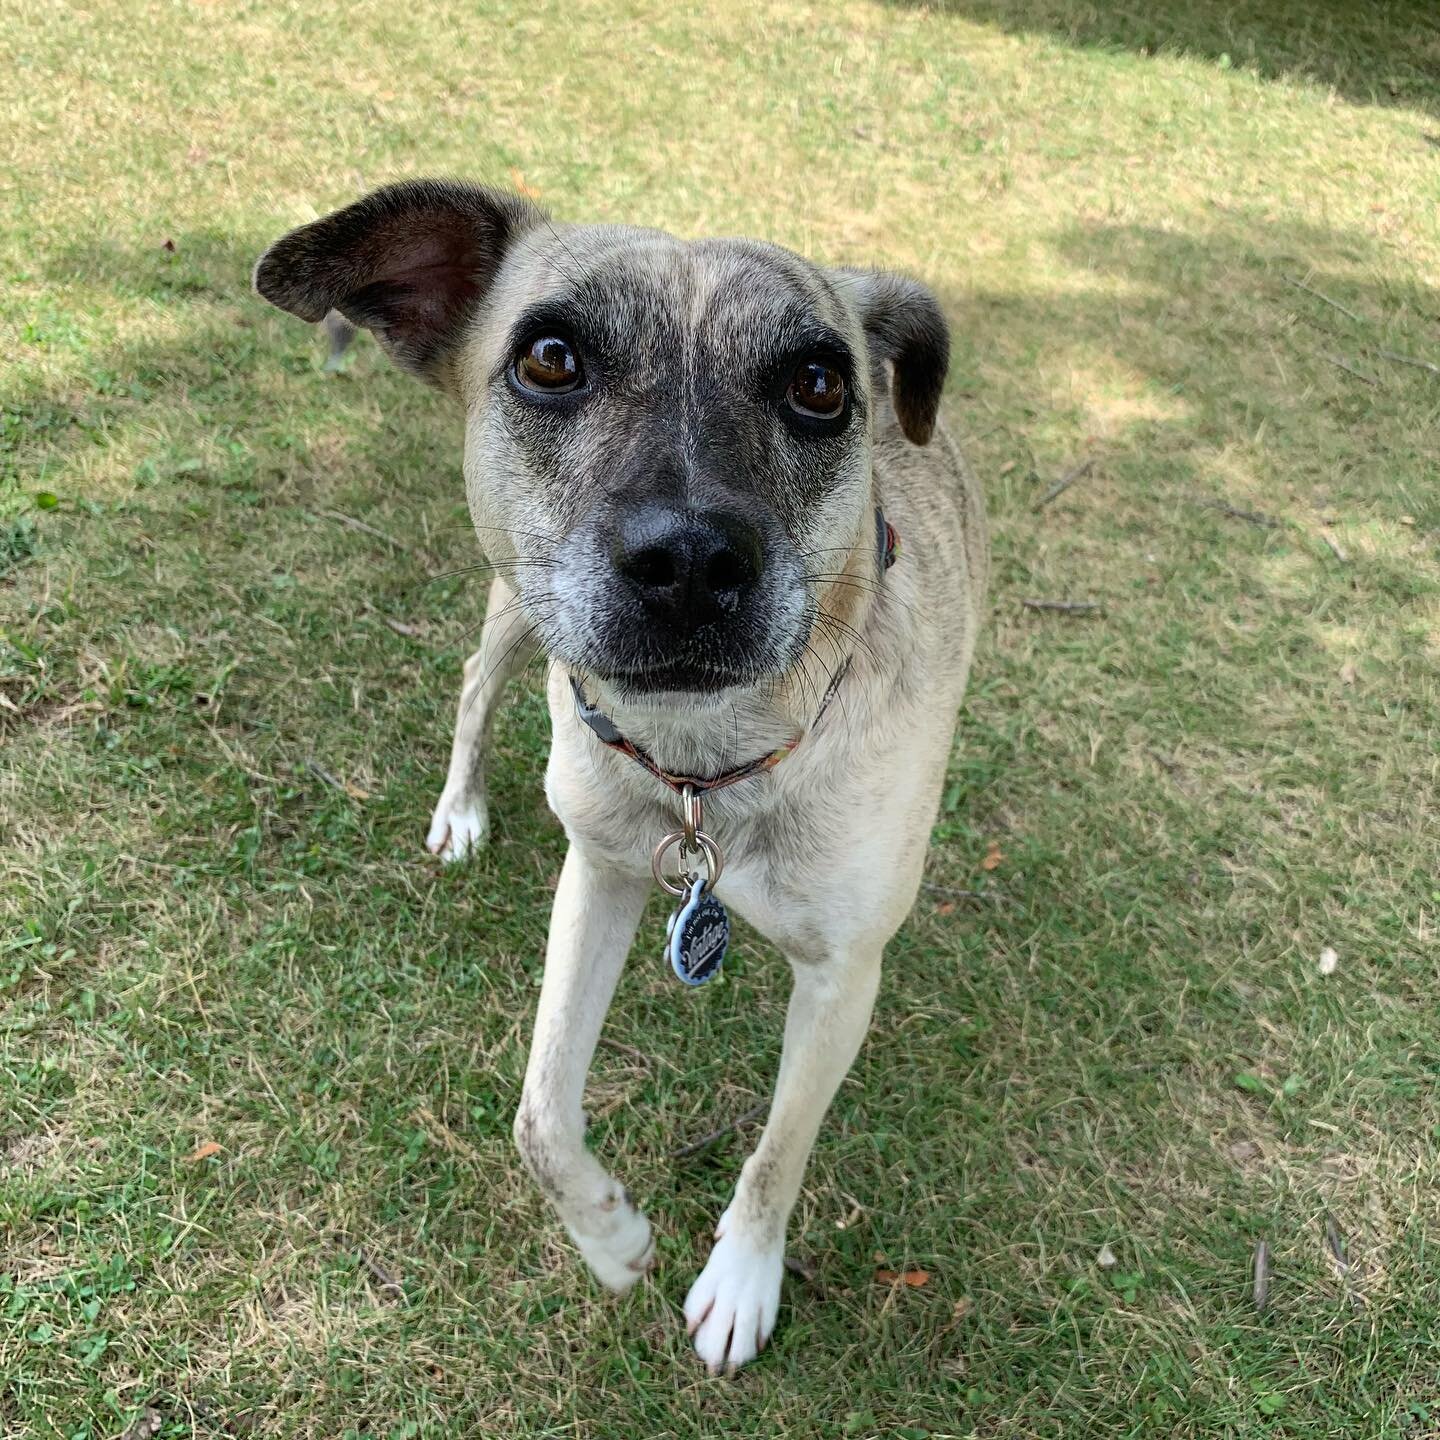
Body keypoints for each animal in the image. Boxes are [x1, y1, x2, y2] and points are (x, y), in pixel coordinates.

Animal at [253, 180, 984, 1370]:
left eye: (820, 385)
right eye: (550, 358)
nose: (689, 561)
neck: (705, 766)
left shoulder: (843, 977)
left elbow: (777, 1154)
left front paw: (740, 1279)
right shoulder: (598, 874)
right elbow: (539, 1114)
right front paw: (608, 1239)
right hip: (518, 609)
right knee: (474, 683)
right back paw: (460, 808)